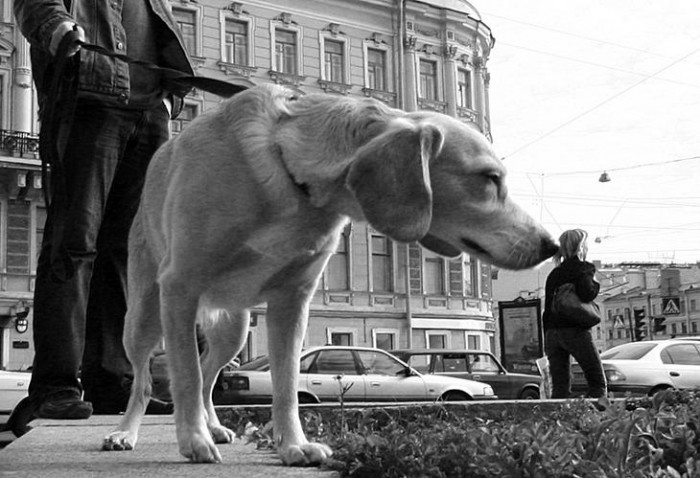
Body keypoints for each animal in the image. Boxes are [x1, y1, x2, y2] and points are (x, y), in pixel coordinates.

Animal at [101, 84, 556, 464]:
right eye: (488, 178)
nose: (550, 245)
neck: (293, 177)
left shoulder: (291, 303)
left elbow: (286, 385)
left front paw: (293, 446)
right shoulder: (181, 287)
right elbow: (184, 378)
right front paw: (193, 439)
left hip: (235, 328)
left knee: (209, 373)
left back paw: (213, 424)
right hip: (144, 318)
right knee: (148, 381)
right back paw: (127, 433)